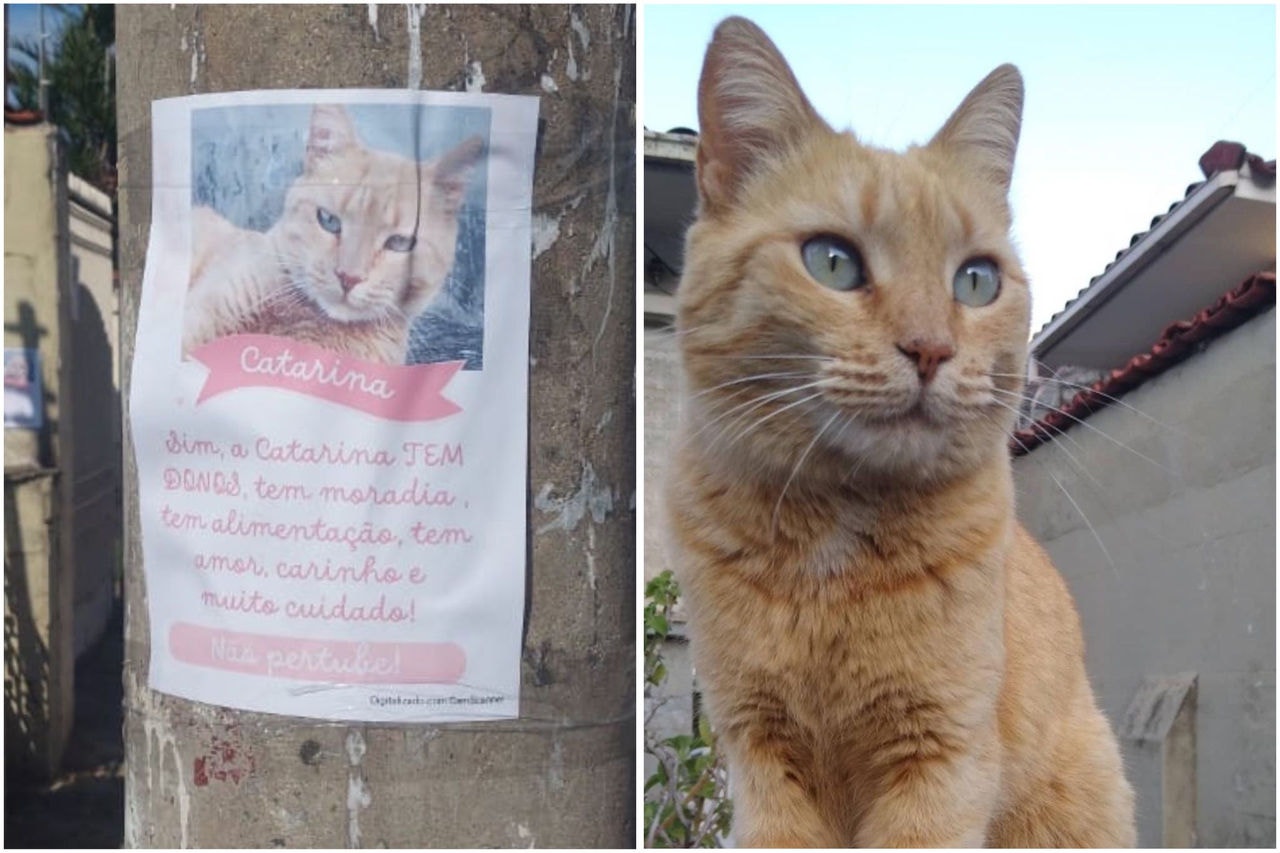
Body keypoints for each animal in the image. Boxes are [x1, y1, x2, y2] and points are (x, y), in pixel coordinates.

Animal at [665, 16, 1136, 845]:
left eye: (976, 280)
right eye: (832, 261)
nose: (930, 349)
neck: (835, 547)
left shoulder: (942, 759)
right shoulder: (762, 762)